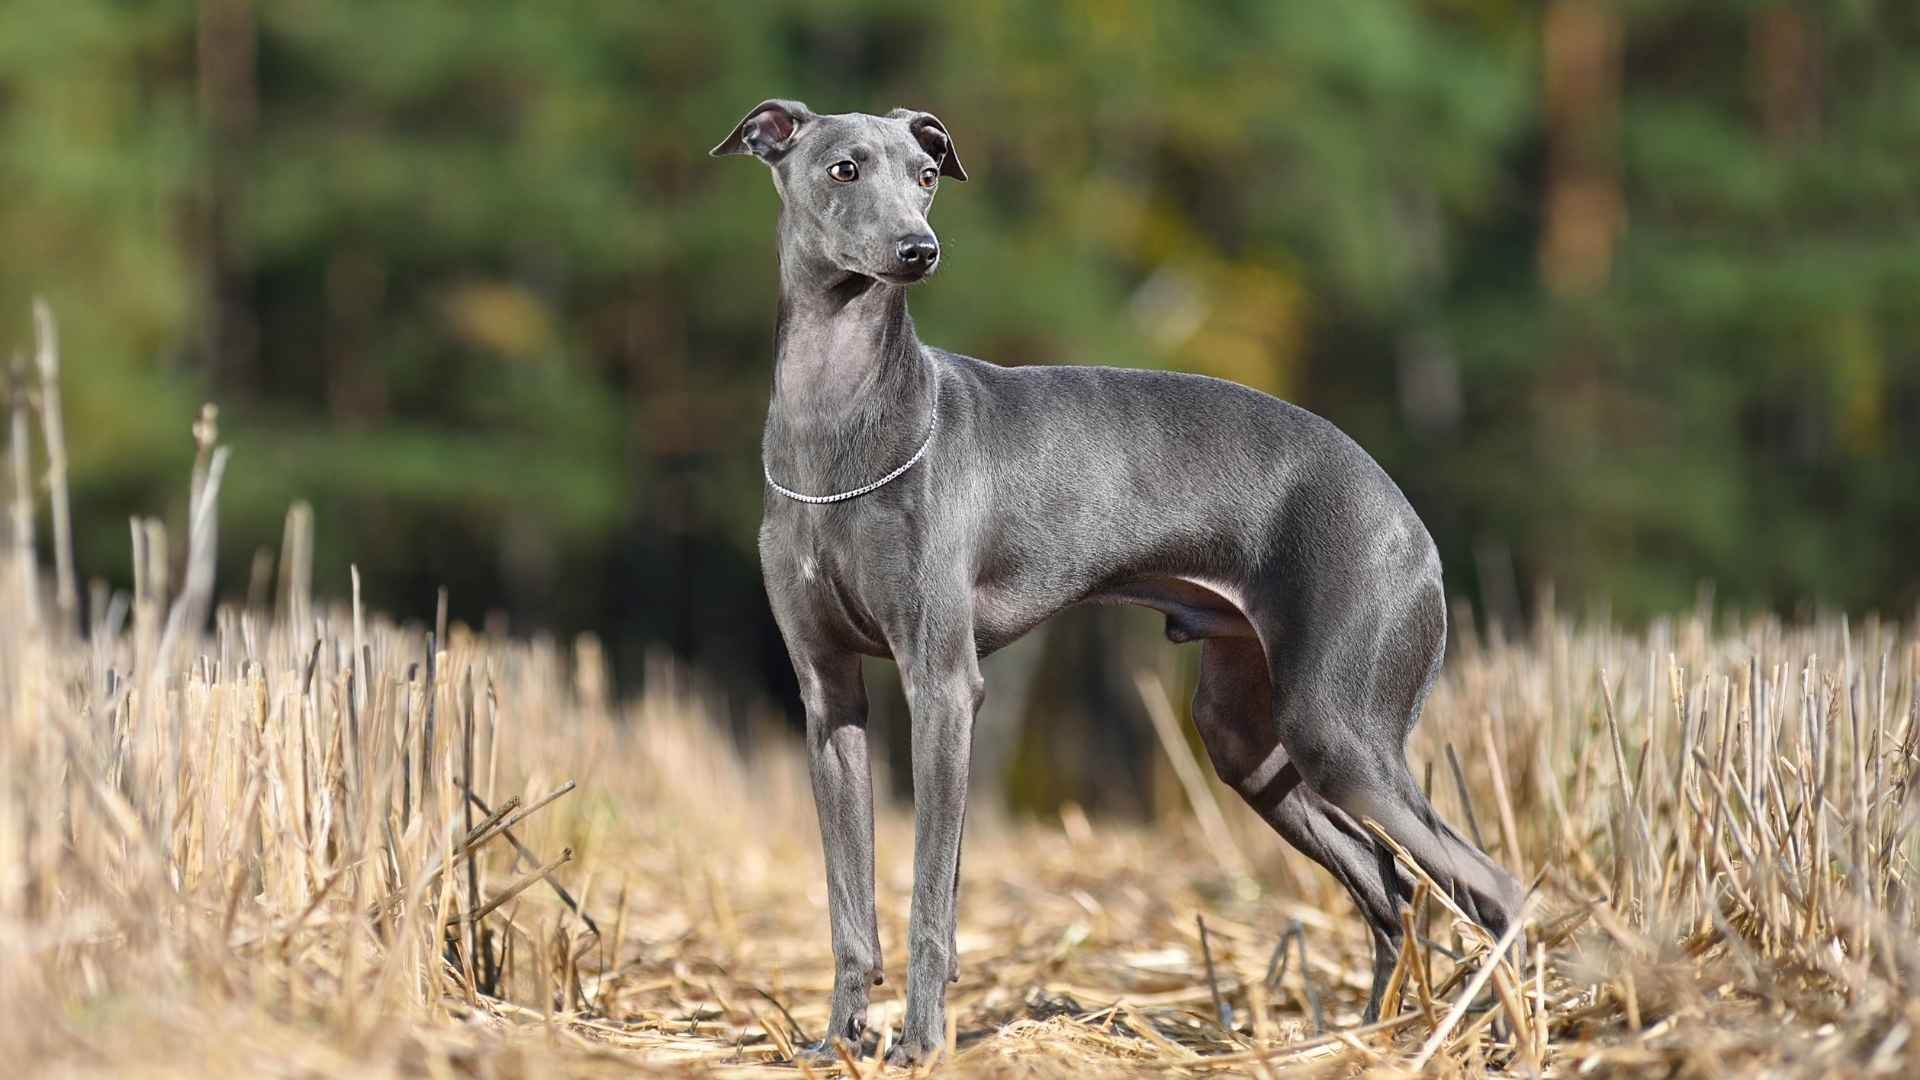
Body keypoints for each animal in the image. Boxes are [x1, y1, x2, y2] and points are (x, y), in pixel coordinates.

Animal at [714, 98, 1520, 1060]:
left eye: (924, 173)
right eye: (843, 168)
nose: (919, 250)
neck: (837, 427)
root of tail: (1408, 518)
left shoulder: (942, 685)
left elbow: (932, 897)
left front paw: (920, 1044)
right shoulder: (828, 696)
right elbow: (849, 903)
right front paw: (837, 1041)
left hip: (1339, 729)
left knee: (1491, 886)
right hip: (1247, 741)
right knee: (1387, 885)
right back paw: (1367, 1040)